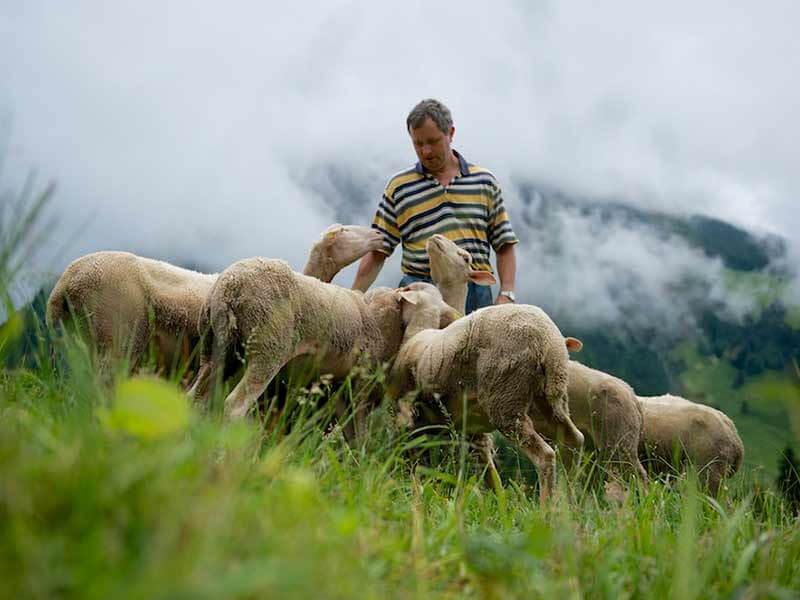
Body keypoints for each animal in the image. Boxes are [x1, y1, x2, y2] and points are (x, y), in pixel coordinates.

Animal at [390, 284, 584, 504]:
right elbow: (489, 473)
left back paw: (547, 507)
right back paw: (569, 503)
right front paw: (499, 502)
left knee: (546, 456)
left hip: (506, 399)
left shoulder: (408, 419)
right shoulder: (472, 430)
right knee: (573, 440)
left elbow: (411, 462)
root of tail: (548, 341)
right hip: (552, 399)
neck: (418, 334)